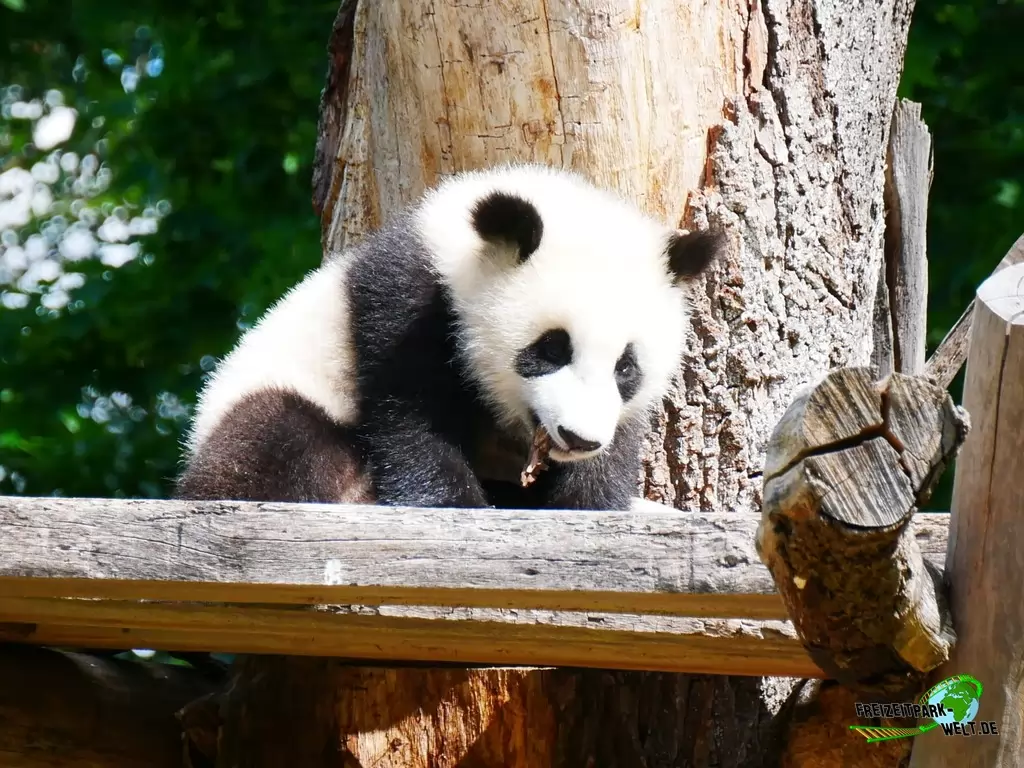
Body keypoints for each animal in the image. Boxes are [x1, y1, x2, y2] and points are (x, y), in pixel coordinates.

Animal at [174, 164, 724, 511]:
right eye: (551, 348)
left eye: (626, 367)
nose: (578, 438)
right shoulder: (406, 303)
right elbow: (411, 416)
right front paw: (450, 501)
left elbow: (615, 448)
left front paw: (589, 500)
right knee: (275, 438)